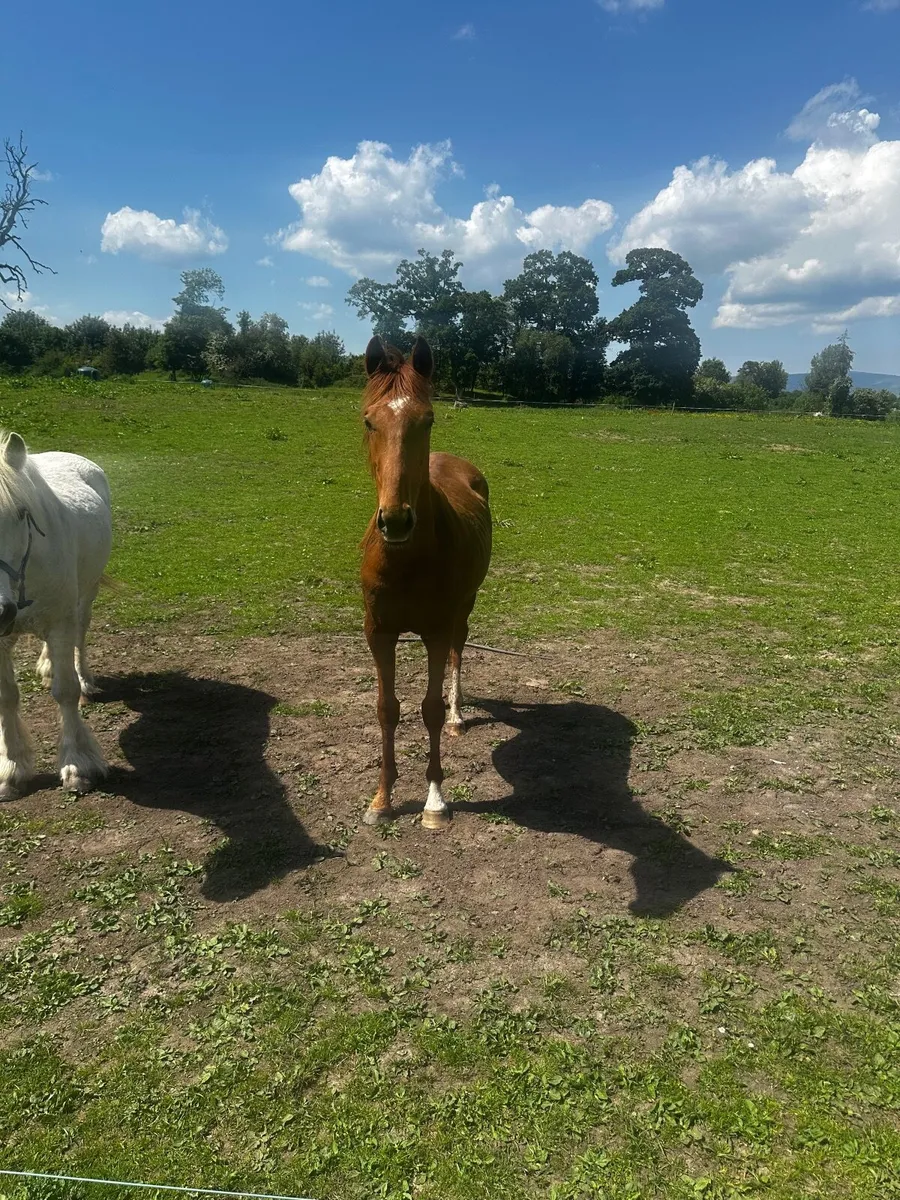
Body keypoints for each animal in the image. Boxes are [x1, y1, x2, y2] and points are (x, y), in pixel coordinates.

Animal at [0, 431, 112, 800]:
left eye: (21, 514)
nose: (0, 610)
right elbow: (6, 696)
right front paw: (12, 769)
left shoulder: (60, 623)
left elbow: (66, 691)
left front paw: (78, 765)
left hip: (85, 597)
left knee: (80, 635)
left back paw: (85, 678)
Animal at [360, 336, 492, 829]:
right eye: (369, 420)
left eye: (428, 419)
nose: (396, 521)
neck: (406, 558)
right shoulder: (378, 633)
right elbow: (387, 709)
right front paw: (381, 799)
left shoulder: (434, 630)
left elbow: (429, 709)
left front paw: (435, 800)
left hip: (465, 605)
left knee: (459, 649)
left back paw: (458, 715)